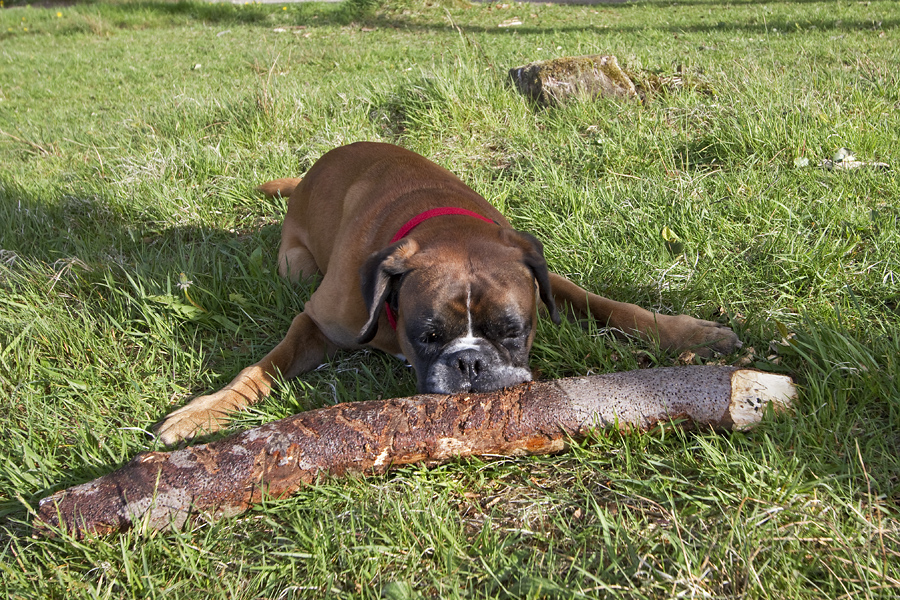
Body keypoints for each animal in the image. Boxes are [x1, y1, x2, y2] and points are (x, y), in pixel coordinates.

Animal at [155, 142, 740, 446]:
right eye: (428, 336)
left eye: (513, 332)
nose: (470, 364)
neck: (440, 225)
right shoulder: (318, 318)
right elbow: (264, 366)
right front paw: (205, 411)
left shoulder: (548, 278)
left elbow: (613, 305)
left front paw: (690, 333)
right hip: (295, 267)